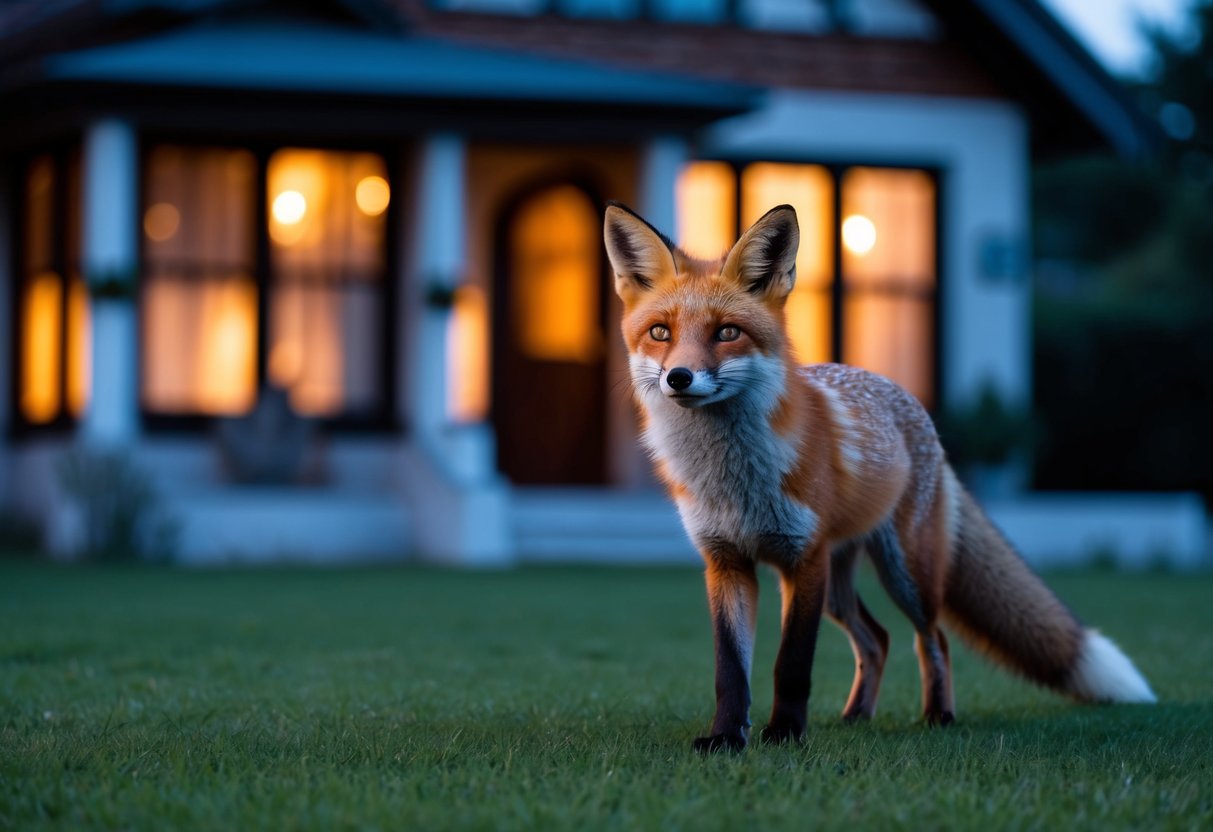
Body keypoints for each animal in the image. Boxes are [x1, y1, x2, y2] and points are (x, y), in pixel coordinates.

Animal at [603, 201, 1156, 752]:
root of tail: (912, 406)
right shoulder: (726, 563)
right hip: (839, 585)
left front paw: (784, 734)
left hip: (903, 572)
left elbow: (792, 665)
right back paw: (856, 716)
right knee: (878, 639)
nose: (679, 378)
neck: (733, 480)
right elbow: (730, 671)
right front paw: (725, 738)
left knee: (932, 638)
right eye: (660, 332)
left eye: (726, 332)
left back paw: (938, 715)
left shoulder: (803, 560)